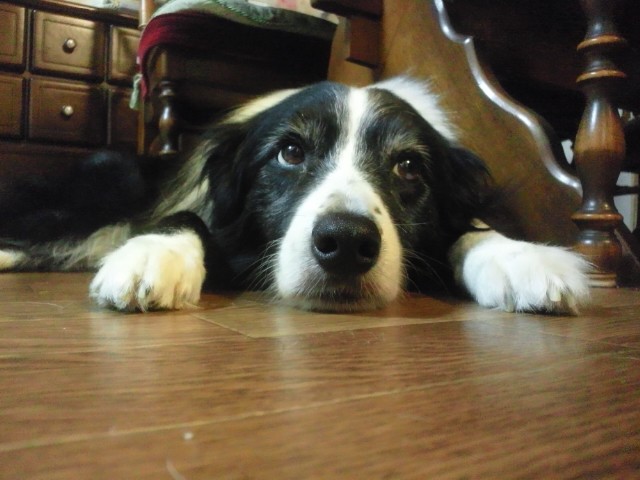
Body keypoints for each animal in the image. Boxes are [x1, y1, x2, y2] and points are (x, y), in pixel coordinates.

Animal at [0, 77, 589, 313]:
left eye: (407, 167)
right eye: (289, 152)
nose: (346, 243)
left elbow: (471, 229)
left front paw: (521, 259)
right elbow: (192, 219)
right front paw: (152, 256)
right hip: (107, 177)